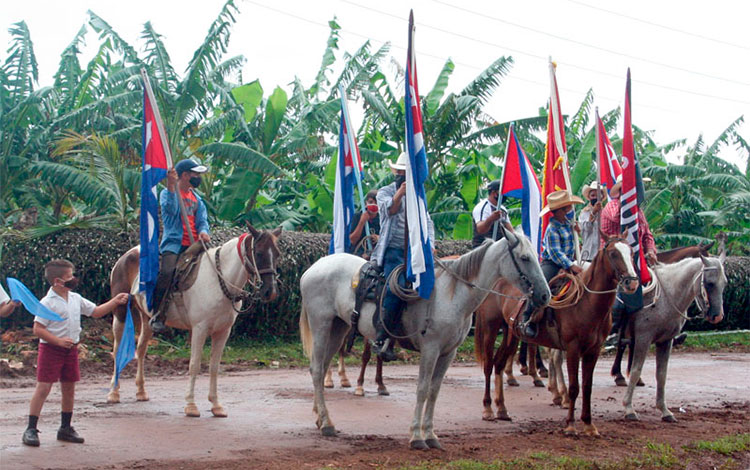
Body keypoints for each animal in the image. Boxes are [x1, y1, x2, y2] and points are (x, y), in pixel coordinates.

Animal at [106, 226, 282, 416]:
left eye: (277, 254)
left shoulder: (223, 331)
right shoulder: (199, 329)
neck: (218, 279)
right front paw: (191, 405)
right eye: (258, 253)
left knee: (141, 349)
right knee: (117, 350)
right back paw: (113, 392)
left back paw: (141, 391)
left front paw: (216, 405)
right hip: (120, 312)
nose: (270, 291)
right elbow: (194, 365)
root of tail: (127, 255)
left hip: (147, 319)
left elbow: (214, 367)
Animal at [300, 229, 552, 450]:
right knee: (316, 370)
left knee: (321, 368)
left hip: (338, 328)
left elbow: (434, 391)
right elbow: (422, 389)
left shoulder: (448, 353)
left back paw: (320, 417)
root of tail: (312, 268)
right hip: (322, 325)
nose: (544, 295)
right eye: (524, 258)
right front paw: (416, 437)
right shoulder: (430, 349)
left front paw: (431, 435)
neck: (452, 295)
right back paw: (327, 424)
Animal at [472, 237, 636, 436]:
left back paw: (502, 409)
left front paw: (589, 425)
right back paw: (488, 409)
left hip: (511, 334)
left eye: (631, 252)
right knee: (489, 365)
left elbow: (587, 387)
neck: (586, 303)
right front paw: (570, 425)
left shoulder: (593, 350)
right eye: (613, 253)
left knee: (499, 363)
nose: (631, 283)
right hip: (491, 327)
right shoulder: (573, 348)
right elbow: (574, 388)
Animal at [624, 253, 728, 422]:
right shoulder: (642, 339)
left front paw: (665, 411)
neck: (664, 298)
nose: (717, 316)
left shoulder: (665, 341)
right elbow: (635, 371)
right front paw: (629, 409)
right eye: (710, 283)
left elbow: (661, 375)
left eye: (724, 283)